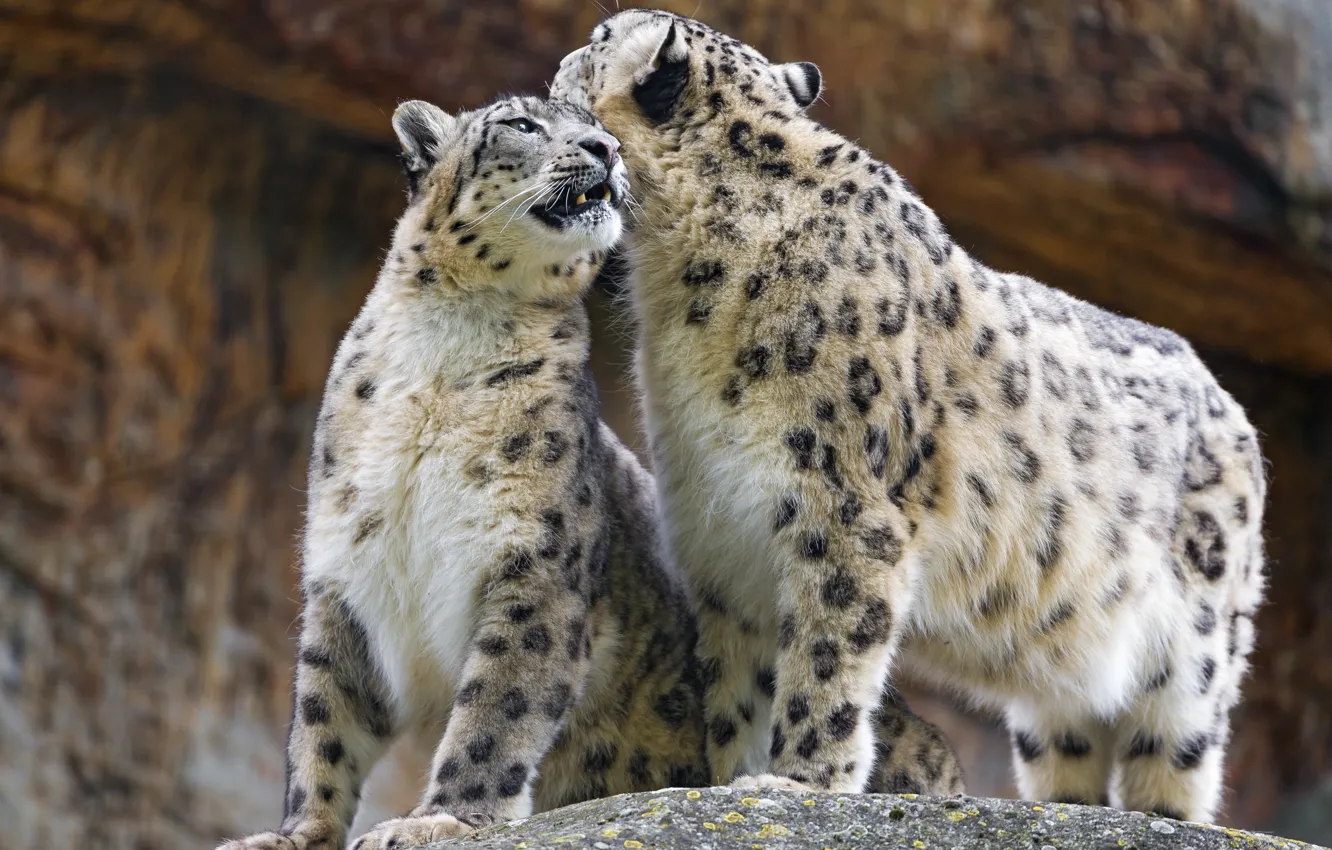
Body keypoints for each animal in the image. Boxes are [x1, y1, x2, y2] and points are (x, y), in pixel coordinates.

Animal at [216, 93, 963, 850]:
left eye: (594, 125)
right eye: (522, 123)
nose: (605, 148)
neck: (447, 346)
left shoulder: (536, 564)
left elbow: (496, 710)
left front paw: (441, 820)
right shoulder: (345, 571)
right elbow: (322, 720)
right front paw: (292, 834)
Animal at [549, 9, 1267, 824]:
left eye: (600, 36)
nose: (563, 56)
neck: (684, 297)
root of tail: (1233, 408)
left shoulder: (843, 511)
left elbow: (825, 661)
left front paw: (797, 783)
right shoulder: (725, 540)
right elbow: (742, 684)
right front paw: (732, 776)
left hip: (1196, 641)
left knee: (1176, 747)